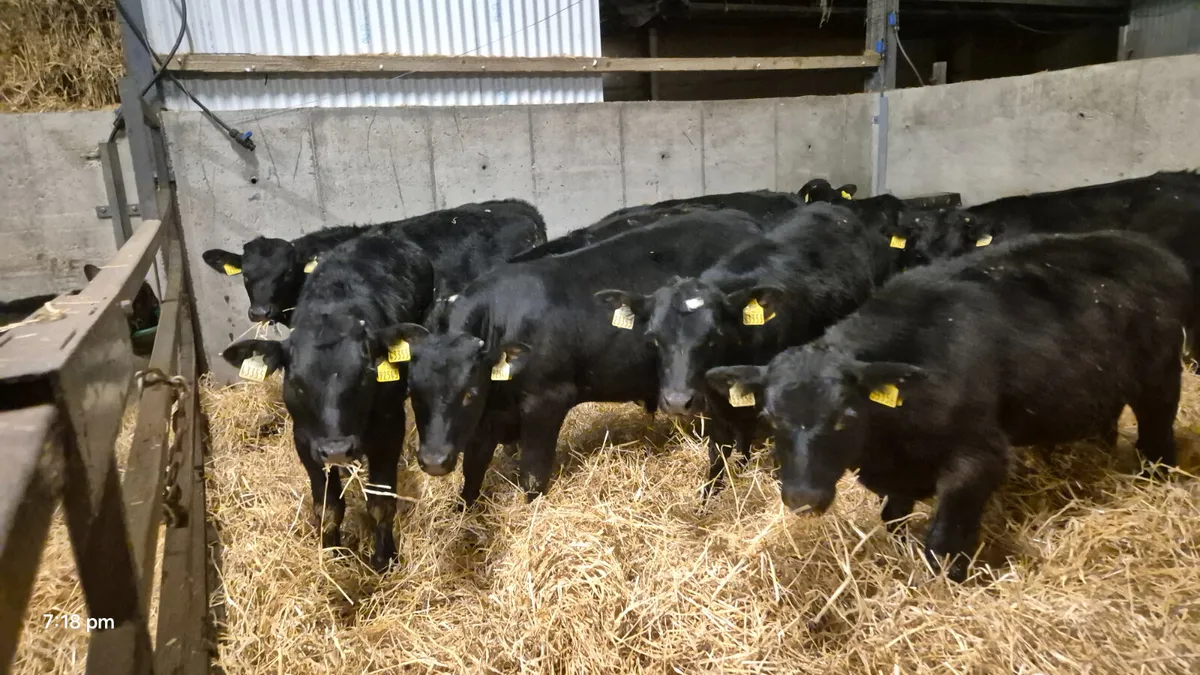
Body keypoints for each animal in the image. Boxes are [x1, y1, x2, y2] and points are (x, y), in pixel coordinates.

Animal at [221, 230, 434, 572]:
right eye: (295, 382)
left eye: (365, 375)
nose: (337, 450)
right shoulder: (305, 439)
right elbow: (327, 506)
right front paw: (331, 554)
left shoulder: (389, 428)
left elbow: (381, 503)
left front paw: (384, 559)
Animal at [390, 209, 766, 509]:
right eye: (414, 394)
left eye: (467, 392)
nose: (434, 461)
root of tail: (743, 221)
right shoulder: (488, 415)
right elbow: (473, 473)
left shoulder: (546, 401)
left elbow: (533, 475)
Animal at [599, 202, 905, 497]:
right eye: (654, 337)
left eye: (713, 337)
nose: (677, 401)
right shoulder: (715, 403)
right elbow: (719, 452)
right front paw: (710, 497)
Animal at [707, 230, 1190, 581]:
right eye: (771, 418)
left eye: (845, 418)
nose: (803, 498)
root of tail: (1147, 247)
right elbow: (893, 516)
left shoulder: (980, 458)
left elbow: (942, 540)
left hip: (1162, 379)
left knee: (1158, 437)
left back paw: (1158, 482)